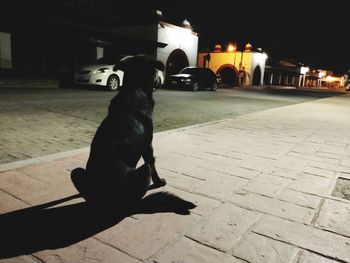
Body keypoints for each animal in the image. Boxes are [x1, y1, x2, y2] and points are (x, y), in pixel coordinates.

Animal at [71, 55, 167, 208]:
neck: (135, 87)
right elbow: (153, 164)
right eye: (156, 70)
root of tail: (106, 202)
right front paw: (159, 182)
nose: (161, 79)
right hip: (142, 173)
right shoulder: (148, 145)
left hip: (76, 172)